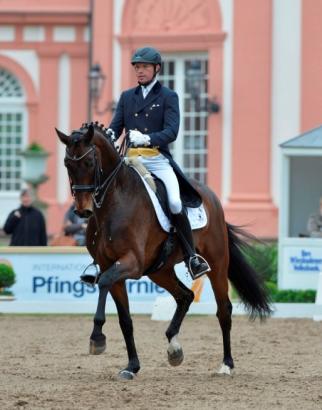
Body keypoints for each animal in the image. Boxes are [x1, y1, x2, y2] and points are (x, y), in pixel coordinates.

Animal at [56, 123, 272, 380]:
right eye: (67, 164)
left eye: (89, 162)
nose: (82, 211)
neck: (113, 204)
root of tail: (211, 197)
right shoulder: (113, 267)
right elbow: (125, 320)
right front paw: (131, 366)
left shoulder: (131, 263)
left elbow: (104, 282)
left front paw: (97, 338)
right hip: (159, 270)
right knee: (185, 296)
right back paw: (174, 348)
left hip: (217, 263)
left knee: (224, 310)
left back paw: (226, 364)